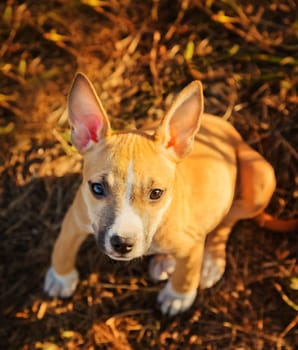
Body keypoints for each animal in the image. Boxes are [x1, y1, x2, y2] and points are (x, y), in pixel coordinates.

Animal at [44, 72, 278, 316]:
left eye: (156, 193)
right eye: (97, 188)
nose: (122, 243)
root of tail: (229, 129)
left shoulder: (192, 243)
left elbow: (187, 274)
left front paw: (177, 297)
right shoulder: (76, 217)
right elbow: (63, 246)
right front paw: (60, 278)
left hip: (262, 177)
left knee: (229, 217)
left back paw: (210, 262)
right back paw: (166, 261)